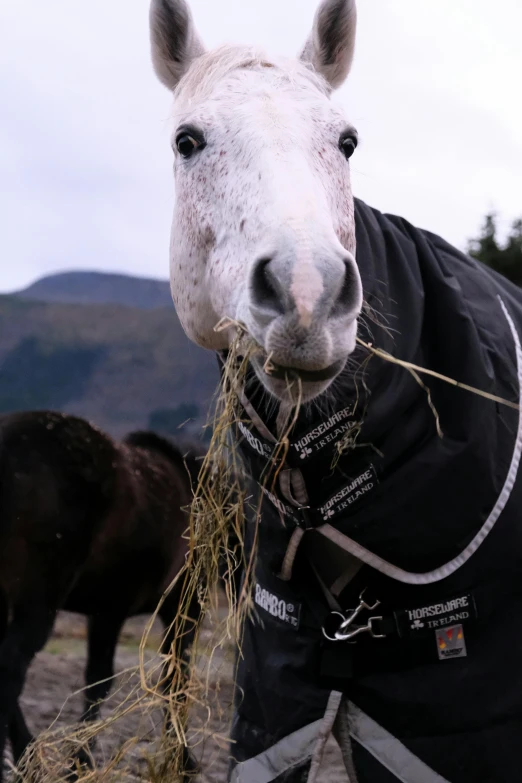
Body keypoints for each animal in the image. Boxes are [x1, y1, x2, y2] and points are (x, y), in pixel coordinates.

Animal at [0, 414, 203, 780]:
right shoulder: (133, 610)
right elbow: (131, 682)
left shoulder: (106, 612)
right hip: (38, 602)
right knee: (11, 669)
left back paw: (29, 757)